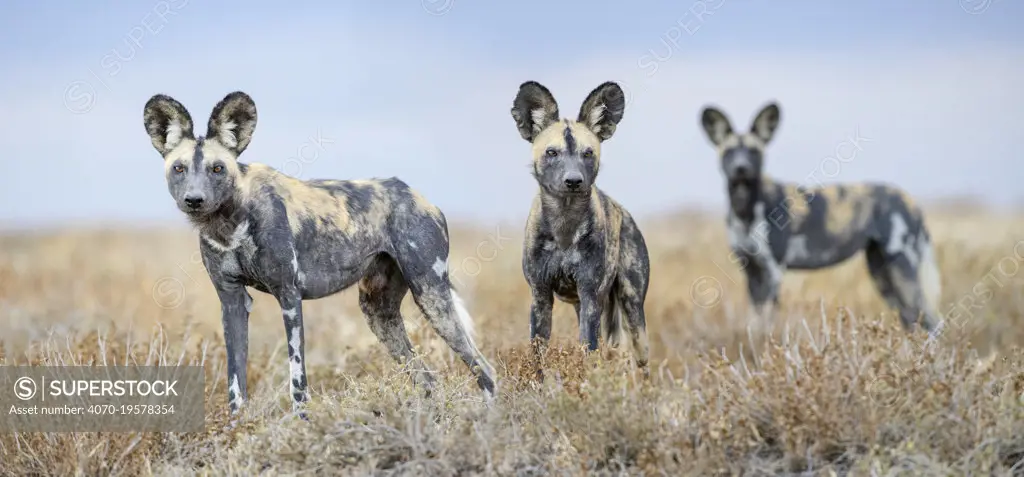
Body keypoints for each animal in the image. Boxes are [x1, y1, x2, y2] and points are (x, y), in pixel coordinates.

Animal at [143, 91, 495, 415]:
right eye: (179, 168)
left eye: (217, 168)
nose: (194, 200)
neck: (231, 223)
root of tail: (422, 198)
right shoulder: (232, 301)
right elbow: (235, 381)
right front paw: (235, 429)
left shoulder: (289, 296)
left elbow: (298, 380)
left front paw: (302, 422)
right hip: (379, 312)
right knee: (427, 379)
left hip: (431, 295)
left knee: (485, 369)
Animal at [509, 81, 647, 380]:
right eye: (552, 153)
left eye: (588, 153)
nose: (573, 181)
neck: (565, 224)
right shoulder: (541, 297)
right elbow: (538, 357)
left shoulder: (590, 294)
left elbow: (589, 351)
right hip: (583, 306)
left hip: (632, 308)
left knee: (642, 360)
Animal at [696, 101, 942, 335]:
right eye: (729, 152)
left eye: (753, 151)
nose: (741, 168)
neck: (744, 208)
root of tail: (910, 200)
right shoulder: (751, 272)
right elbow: (756, 322)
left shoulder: (773, 271)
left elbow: (768, 323)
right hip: (882, 274)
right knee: (912, 319)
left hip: (903, 268)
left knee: (932, 322)